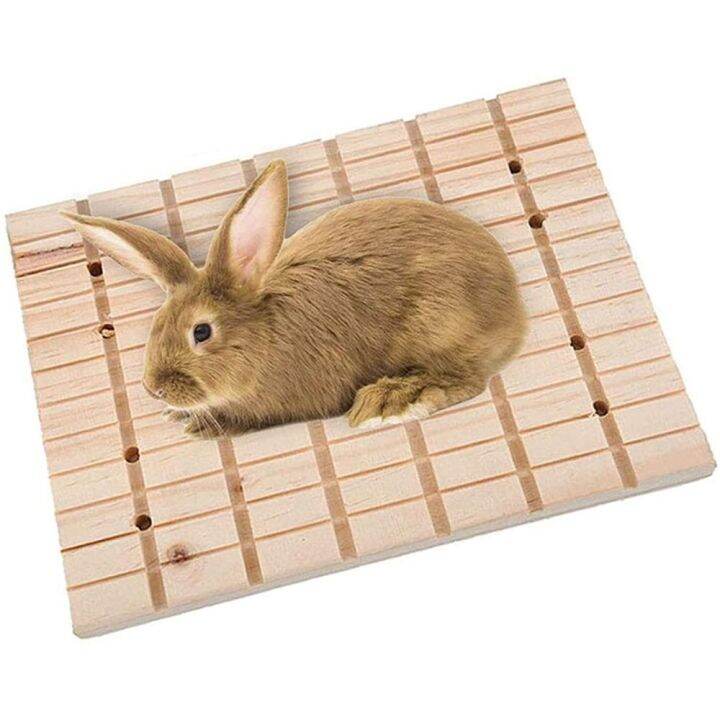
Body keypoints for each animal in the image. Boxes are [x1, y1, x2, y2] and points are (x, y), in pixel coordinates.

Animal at [61, 160, 527, 439]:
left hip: (441, 325)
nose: (154, 390)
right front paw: (179, 415)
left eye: (202, 331)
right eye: (156, 325)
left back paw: (390, 402)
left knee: (465, 378)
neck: (264, 336)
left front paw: (203, 427)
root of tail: (515, 309)